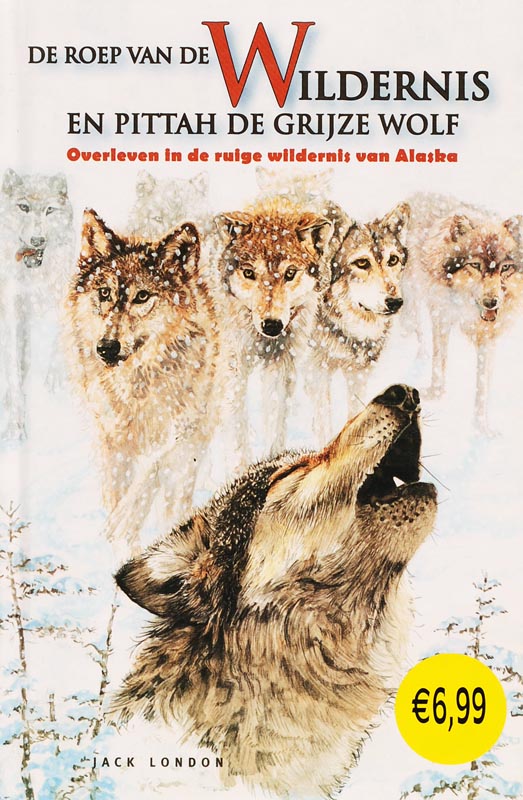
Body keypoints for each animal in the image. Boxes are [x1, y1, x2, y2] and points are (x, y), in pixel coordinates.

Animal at [0, 168, 74, 439]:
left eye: (49, 210)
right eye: (23, 207)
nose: (37, 240)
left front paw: (55, 378)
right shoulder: (12, 309)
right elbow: (13, 368)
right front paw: (15, 428)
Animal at [67, 210, 218, 551]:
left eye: (142, 296)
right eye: (105, 293)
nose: (106, 347)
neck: (136, 384)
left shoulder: (184, 428)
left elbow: (151, 469)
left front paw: (122, 522)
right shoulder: (111, 440)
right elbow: (118, 492)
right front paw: (119, 546)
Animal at [214, 198, 333, 463]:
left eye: (290, 273)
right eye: (249, 273)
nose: (271, 324)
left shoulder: (280, 363)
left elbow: (275, 420)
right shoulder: (233, 368)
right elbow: (238, 434)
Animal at [306, 202, 410, 444]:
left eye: (393, 260)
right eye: (362, 263)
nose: (395, 302)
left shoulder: (359, 374)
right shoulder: (317, 372)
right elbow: (323, 423)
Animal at [406, 193, 523, 435]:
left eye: (506, 268)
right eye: (475, 265)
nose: (491, 302)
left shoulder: (488, 338)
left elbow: (483, 385)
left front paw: (482, 427)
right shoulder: (441, 315)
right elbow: (439, 360)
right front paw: (435, 393)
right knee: (418, 331)